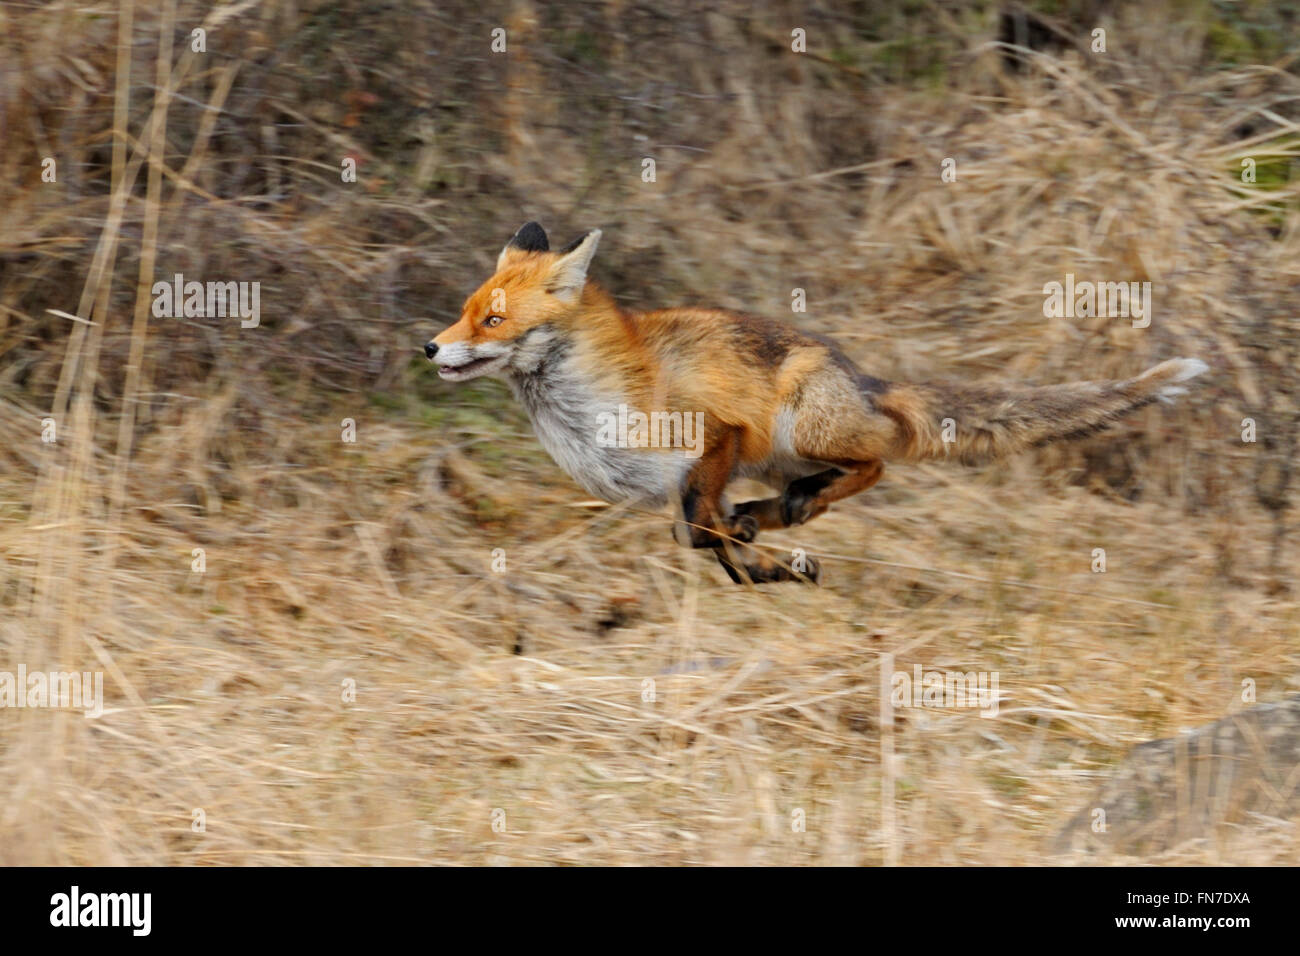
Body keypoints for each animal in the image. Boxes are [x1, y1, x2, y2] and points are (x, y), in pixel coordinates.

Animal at [428, 223, 1206, 582]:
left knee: (880, 457)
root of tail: (862, 376)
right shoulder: (685, 481)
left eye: (492, 322)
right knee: (813, 488)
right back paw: (778, 513)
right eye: (465, 313)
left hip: (800, 428)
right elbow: (697, 534)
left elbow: (700, 528)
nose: (430, 348)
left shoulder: (716, 434)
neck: (584, 411)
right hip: (779, 455)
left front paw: (766, 568)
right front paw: (760, 563)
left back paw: (795, 507)